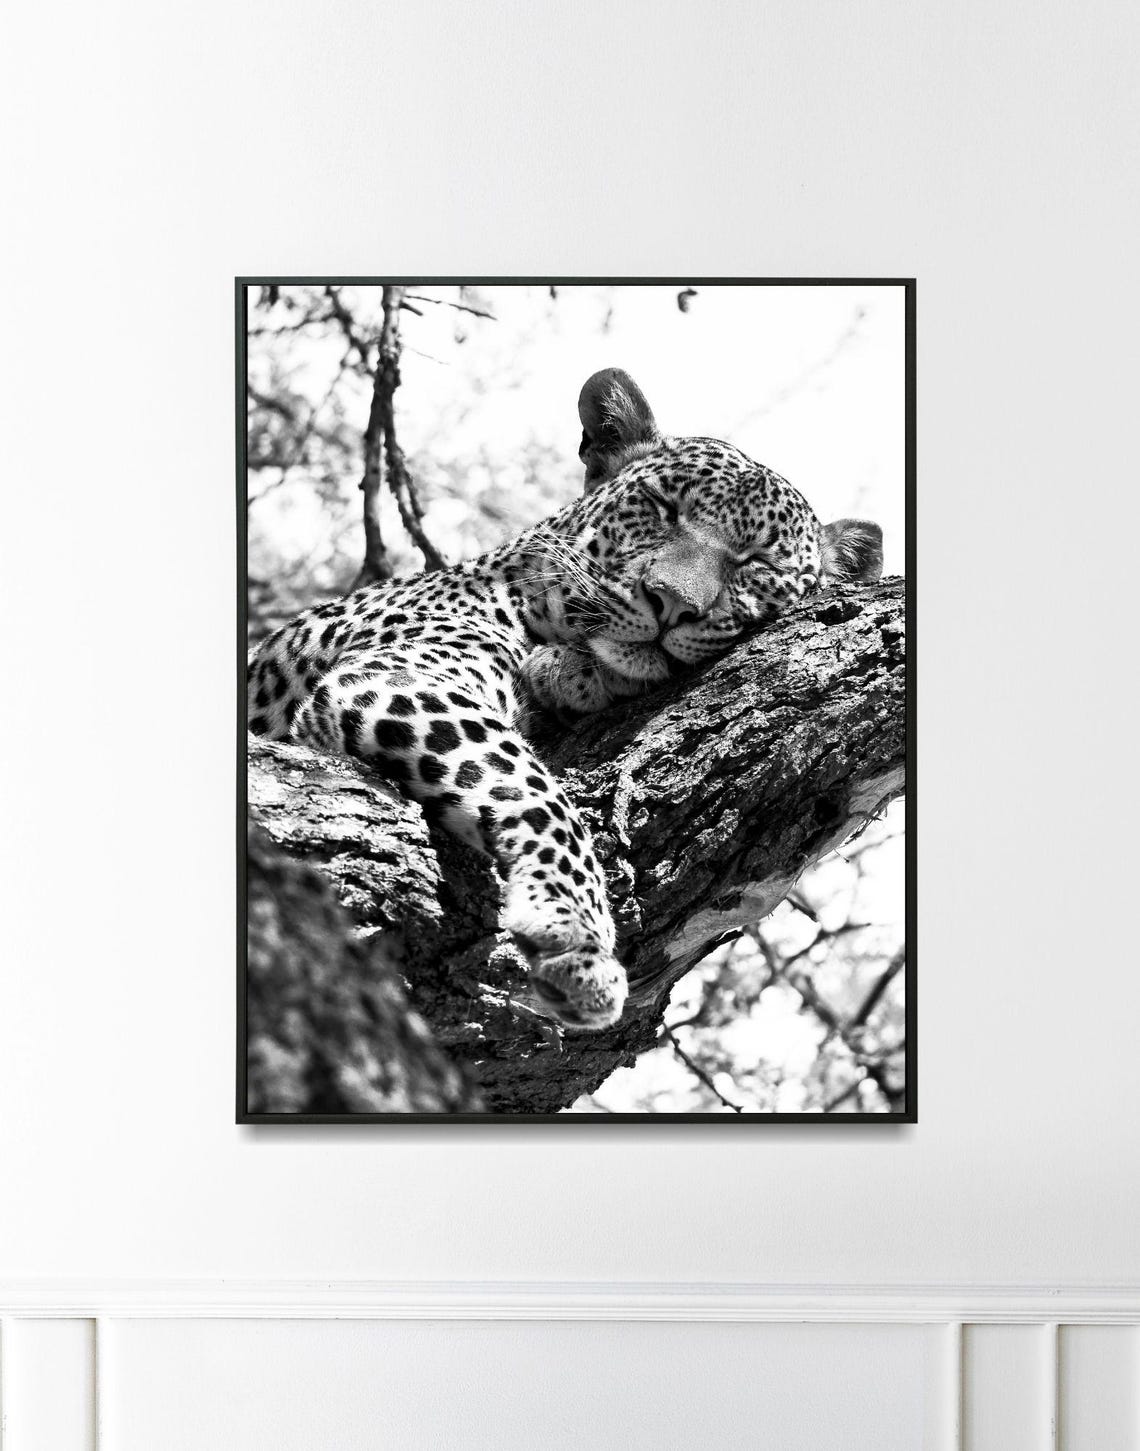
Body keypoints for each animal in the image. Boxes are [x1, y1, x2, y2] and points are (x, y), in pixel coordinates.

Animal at [247, 367, 884, 1033]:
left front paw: (567, 676)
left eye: (756, 561)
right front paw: (575, 934)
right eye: (663, 508)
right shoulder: (399, 674)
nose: (671, 602)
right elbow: (534, 792)